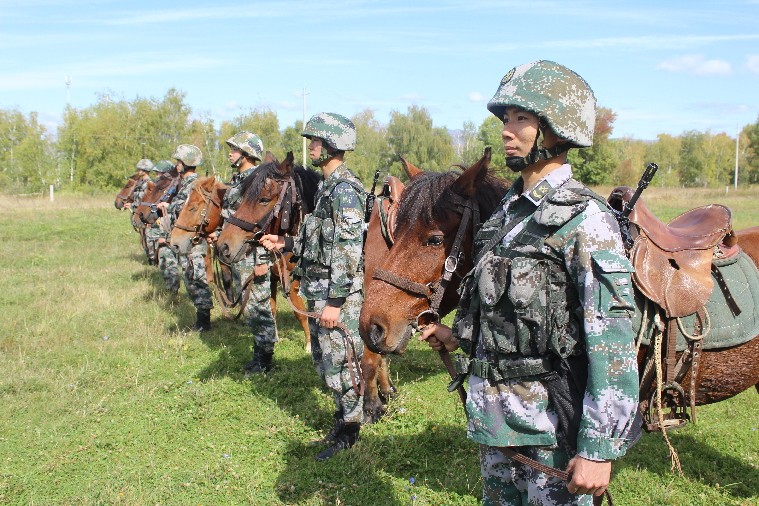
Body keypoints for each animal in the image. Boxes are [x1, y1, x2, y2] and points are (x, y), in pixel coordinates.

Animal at [215, 152, 322, 354]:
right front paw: (275, 337)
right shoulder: (272, 277)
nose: (223, 247)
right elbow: (271, 308)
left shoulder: (293, 282)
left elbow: (301, 312)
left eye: (264, 199)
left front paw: (309, 345)